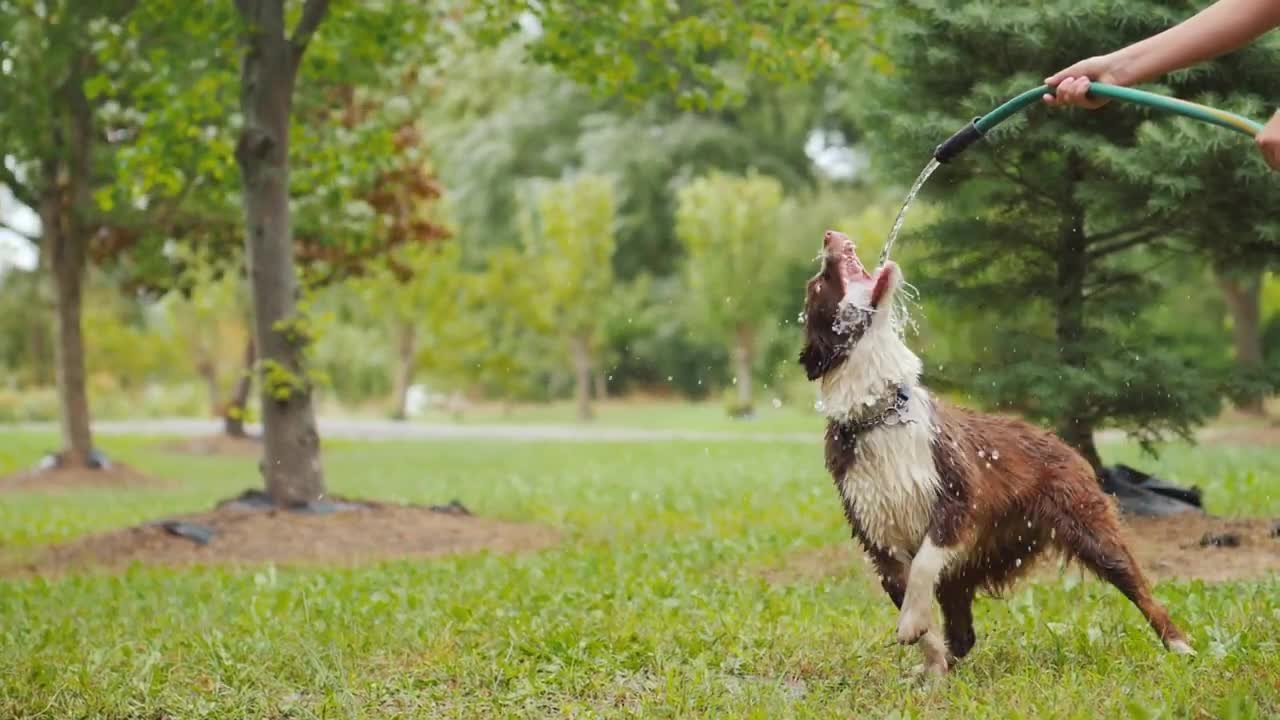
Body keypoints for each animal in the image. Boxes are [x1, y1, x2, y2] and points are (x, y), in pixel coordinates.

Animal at [793, 228, 1192, 671]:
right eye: (819, 284)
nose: (829, 235)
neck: (880, 412)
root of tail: (1057, 439)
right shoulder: (876, 535)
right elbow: (910, 594)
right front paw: (929, 661)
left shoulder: (960, 496)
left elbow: (925, 562)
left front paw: (913, 627)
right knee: (963, 634)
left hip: (1089, 524)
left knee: (1139, 587)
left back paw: (1180, 645)